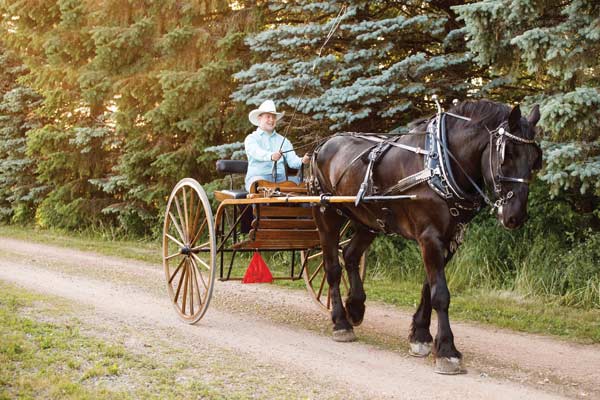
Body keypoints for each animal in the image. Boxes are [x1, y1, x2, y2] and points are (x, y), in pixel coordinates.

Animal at [310, 98, 544, 374]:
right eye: (507, 155)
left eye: (535, 159)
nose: (515, 216)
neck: (440, 165)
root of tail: (323, 144)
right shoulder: (429, 236)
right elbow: (440, 294)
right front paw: (447, 350)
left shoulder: (449, 239)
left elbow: (427, 287)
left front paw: (420, 336)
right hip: (327, 213)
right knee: (332, 268)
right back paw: (341, 322)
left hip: (369, 220)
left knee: (350, 254)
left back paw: (355, 308)